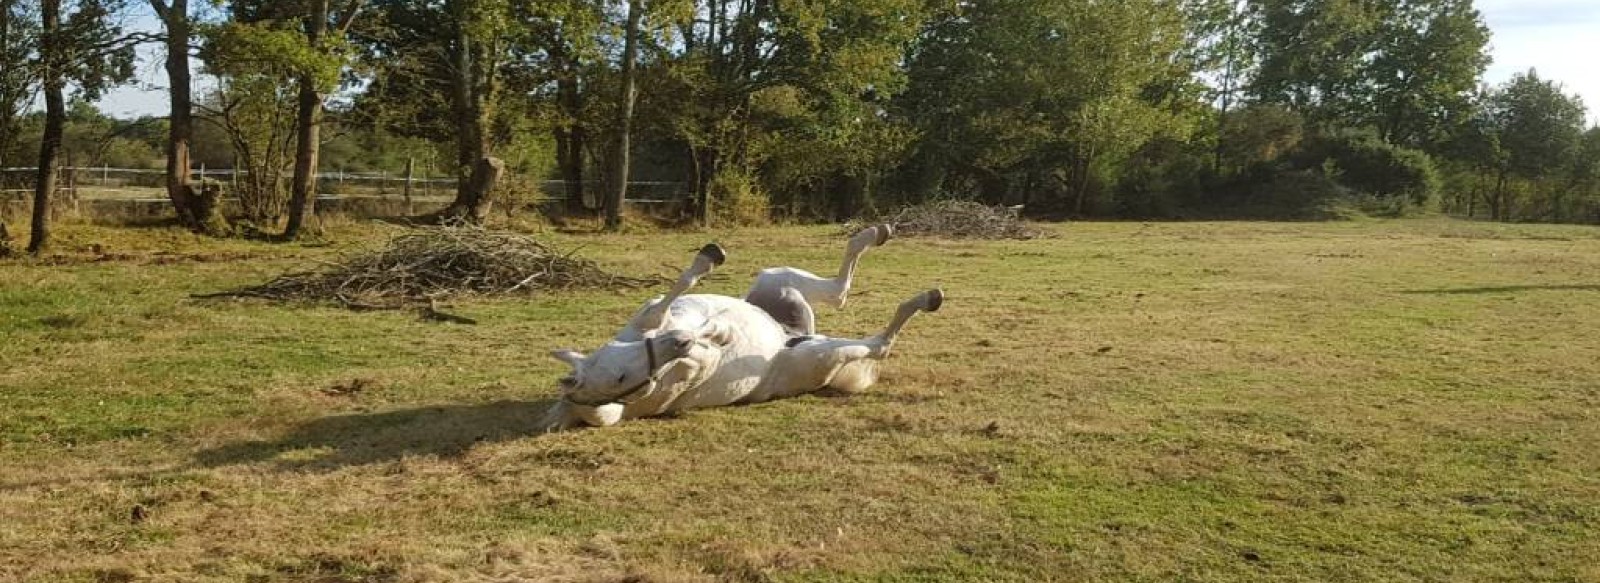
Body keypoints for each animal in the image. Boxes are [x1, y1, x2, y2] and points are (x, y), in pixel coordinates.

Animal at [537, 225, 934, 429]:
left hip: (776, 280)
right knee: (876, 341)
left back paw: (876, 234)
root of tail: (794, 337)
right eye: (622, 383)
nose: (678, 344)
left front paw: (708, 266)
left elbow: (673, 301)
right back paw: (927, 298)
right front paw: (715, 334)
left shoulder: (654, 319)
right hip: (817, 356)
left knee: (838, 290)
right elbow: (697, 338)